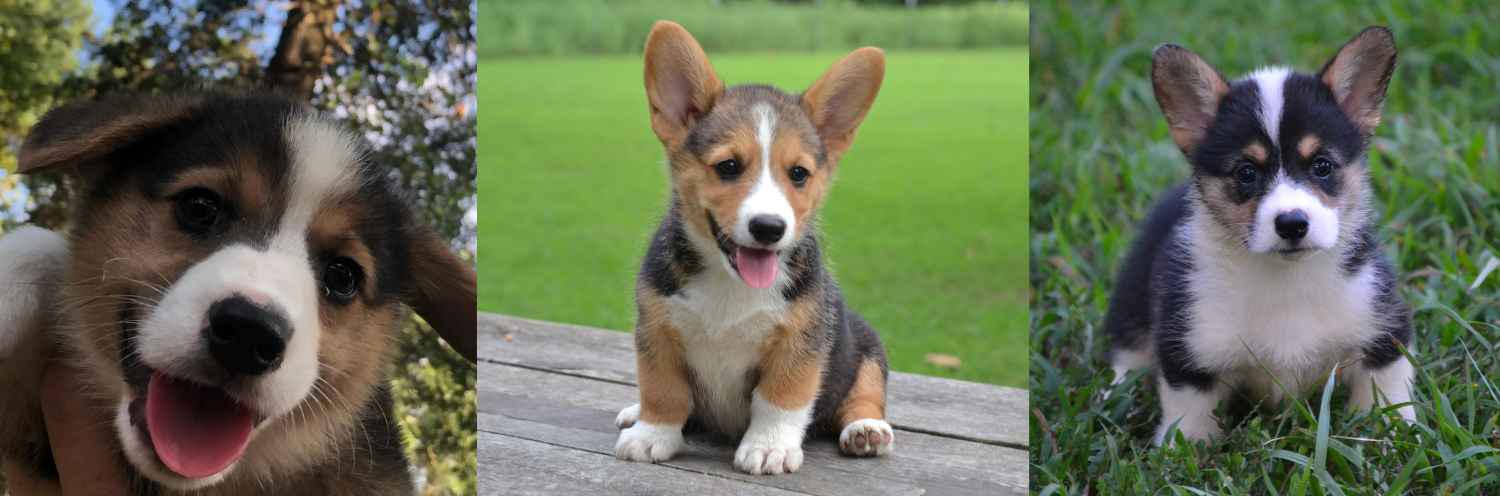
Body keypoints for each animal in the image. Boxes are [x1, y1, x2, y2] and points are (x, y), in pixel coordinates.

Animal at [615, 21, 894, 476]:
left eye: (798, 174)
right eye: (728, 166)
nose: (768, 228)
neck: (732, 285)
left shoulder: (800, 343)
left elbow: (780, 397)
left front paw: (769, 447)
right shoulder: (657, 330)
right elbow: (662, 390)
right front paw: (651, 434)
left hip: (867, 347)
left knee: (864, 396)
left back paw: (865, 430)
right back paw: (634, 412)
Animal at [1116, 28, 1416, 446]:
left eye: (1322, 166)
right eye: (1246, 173)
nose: (1292, 224)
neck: (1285, 279)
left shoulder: (1384, 333)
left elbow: (1387, 396)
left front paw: (1392, 438)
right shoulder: (1189, 351)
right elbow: (1189, 418)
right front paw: (1180, 451)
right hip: (1131, 305)